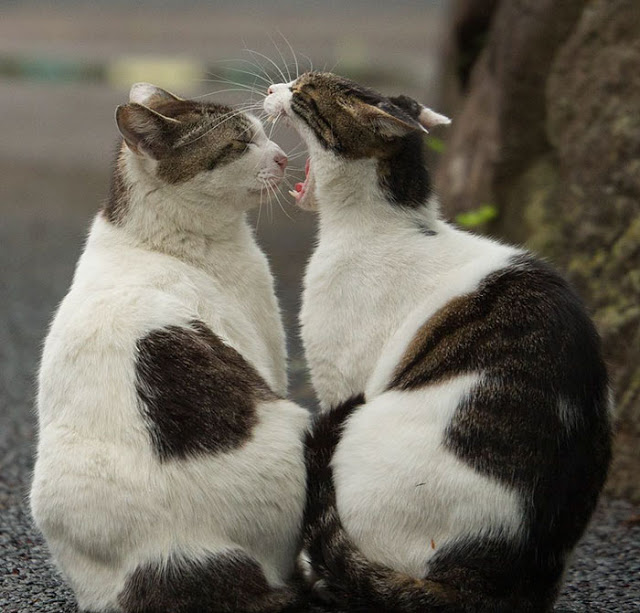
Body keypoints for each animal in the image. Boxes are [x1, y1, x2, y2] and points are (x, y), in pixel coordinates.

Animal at [30, 82, 310, 612]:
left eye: (262, 133)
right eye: (239, 143)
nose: (284, 158)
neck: (155, 239)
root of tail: (171, 554)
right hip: (293, 420)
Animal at [264, 73, 608, 612]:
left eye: (303, 91)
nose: (274, 87)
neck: (387, 223)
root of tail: (489, 587)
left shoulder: (341, 382)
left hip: (363, 433)